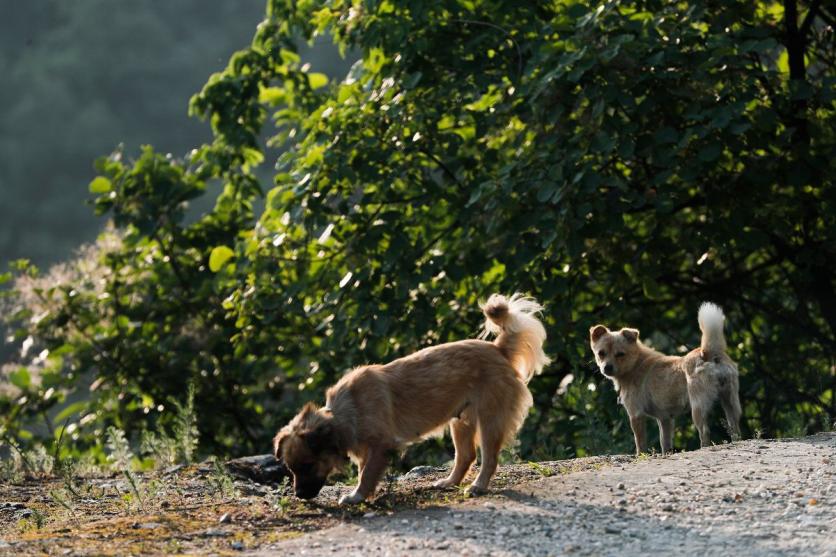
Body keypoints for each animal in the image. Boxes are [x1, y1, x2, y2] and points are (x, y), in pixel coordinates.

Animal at [272, 296, 548, 504]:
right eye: (291, 469)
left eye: (308, 465)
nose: (298, 495)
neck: (345, 412)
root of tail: (497, 349)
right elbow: (363, 470)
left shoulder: (379, 447)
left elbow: (366, 474)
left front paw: (357, 496)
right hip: (460, 421)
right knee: (466, 456)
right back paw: (449, 482)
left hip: (489, 419)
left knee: (489, 458)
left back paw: (478, 486)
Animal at [592, 302, 740, 454]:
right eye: (601, 353)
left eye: (620, 354)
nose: (607, 368)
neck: (636, 364)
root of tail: (707, 353)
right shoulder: (665, 419)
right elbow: (665, 442)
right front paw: (666, 453)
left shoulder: (636, 414)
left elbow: (640, 442)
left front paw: (640, 455)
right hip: (730, 402)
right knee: (735, 428)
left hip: (698, 408)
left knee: (704, 431)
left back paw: (703, 447)